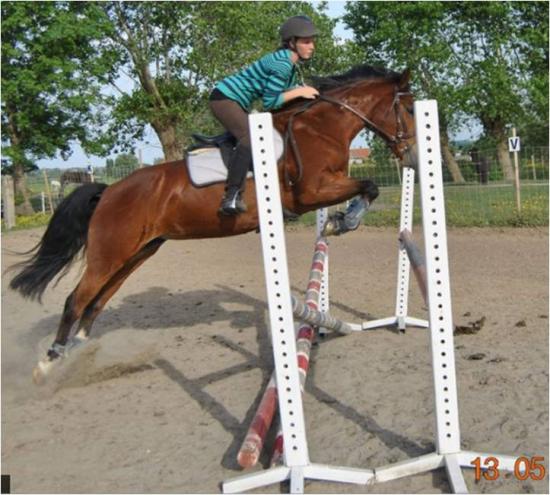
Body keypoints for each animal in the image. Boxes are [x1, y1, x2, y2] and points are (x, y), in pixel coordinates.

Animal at [9, 65, 418, 384]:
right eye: (410, 108)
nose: (413, 156)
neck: (318, 129)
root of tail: (109, 191)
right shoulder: (311, 191)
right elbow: (370, 185)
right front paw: (341, 221)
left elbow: (368, 188)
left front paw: (339, 221)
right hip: (111, 252)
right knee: (75, 300)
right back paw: (48, 364)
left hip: (137, 252)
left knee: (96, 302)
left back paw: (76, 353)